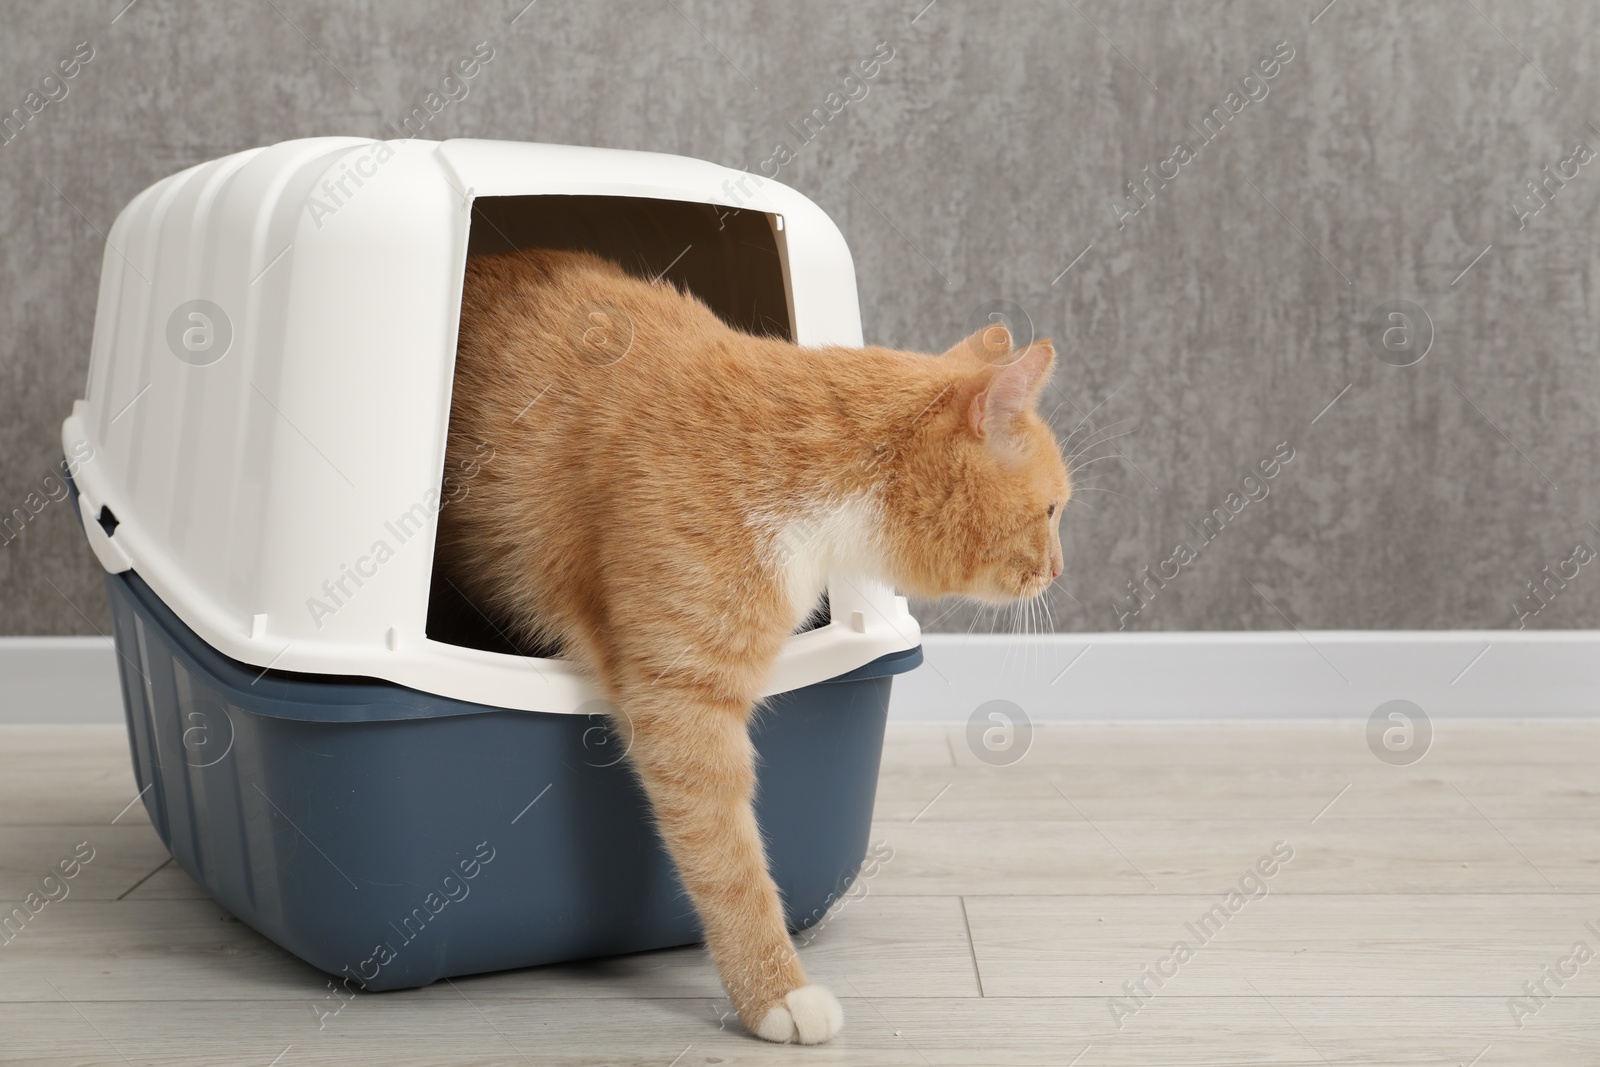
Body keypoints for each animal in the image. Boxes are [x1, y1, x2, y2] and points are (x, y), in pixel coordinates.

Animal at [432, 251, 1068, 1043]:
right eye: (1053, 509)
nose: (1060, 568)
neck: (810, 475)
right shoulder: (682, 696)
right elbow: (729, 858)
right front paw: (775, 992)